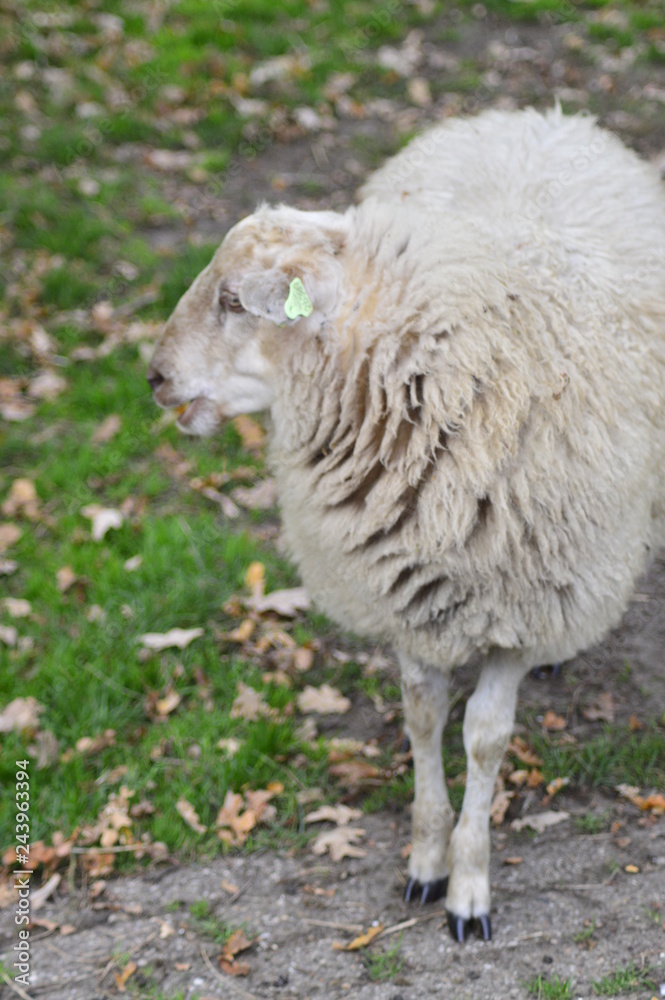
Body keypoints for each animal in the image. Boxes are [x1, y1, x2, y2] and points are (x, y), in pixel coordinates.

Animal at [147, 106, 665, 941]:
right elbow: (423, 719)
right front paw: (425, 861)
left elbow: (482, 736)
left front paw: (469, 886)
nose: (154, 378)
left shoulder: (516, 598)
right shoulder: (404, 588)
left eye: (233, 301)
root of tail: (538, 116)